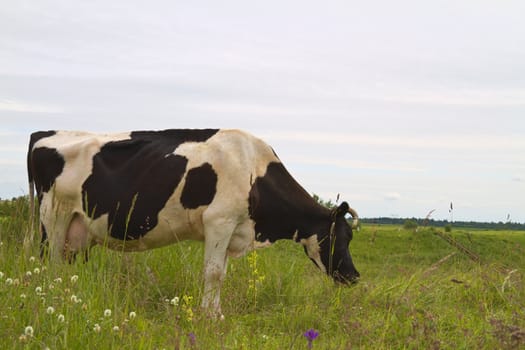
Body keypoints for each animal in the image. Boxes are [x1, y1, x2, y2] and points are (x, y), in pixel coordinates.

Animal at [26, 129, 358, 318]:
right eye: (339, 237)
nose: (354, 277)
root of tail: (44, 133)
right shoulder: (219, 221)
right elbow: (213, 273)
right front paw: (208, 317)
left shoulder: (231, 229)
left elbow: (221, 273)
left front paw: (216, 314)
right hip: (53, 217)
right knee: (50, 264)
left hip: (77, 230)